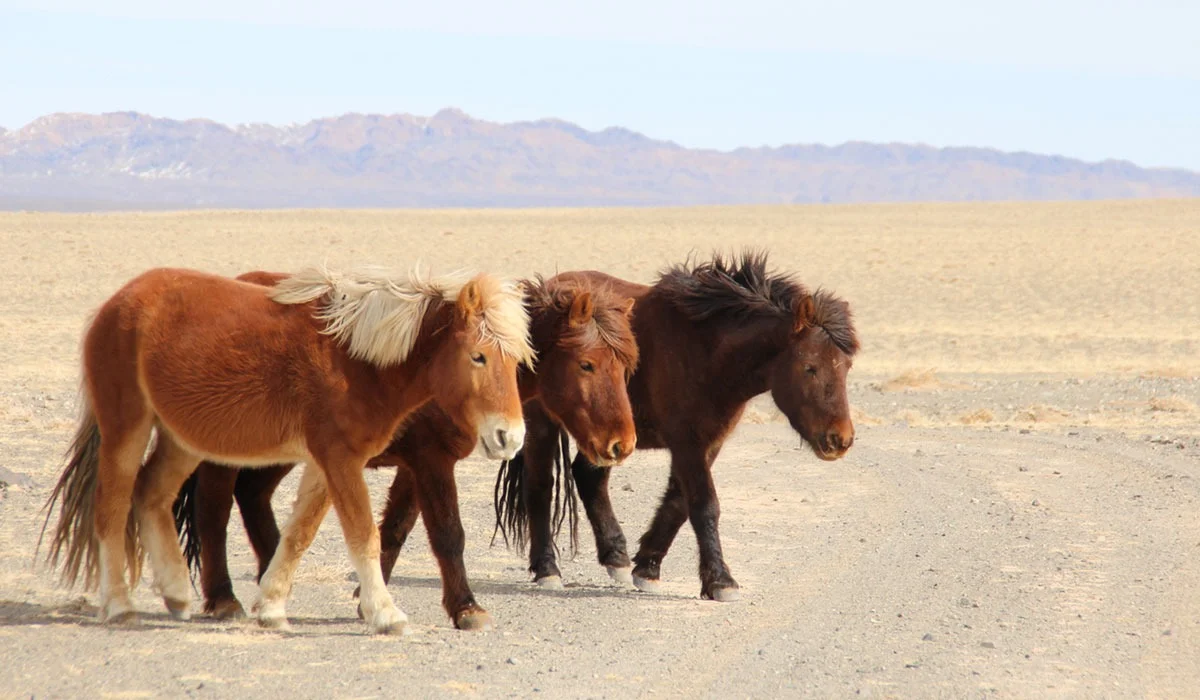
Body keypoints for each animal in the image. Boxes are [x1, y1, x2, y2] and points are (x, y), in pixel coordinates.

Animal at [39, 264, 532, 633]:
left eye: (516, 361)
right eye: (478, 356)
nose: (510, 437)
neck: (356, 360)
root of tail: (120, 300)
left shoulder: (326, 463)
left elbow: (300, 535)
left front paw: (272, 606)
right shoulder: (344, 459)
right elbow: (365, 534)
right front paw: (385, 613)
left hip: (183, 438)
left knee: (152, 495)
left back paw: (178, 593)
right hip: (128, 427)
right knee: (114, 504)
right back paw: (122, 605)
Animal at [175, 272, 643, 629]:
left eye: (625, 367)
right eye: (587, 364)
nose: (621, 444)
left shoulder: (412, 467)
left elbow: (394, 529)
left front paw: (368, 598)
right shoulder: (431, 462)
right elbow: (447, 534)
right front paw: (465, 608)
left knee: (254, 496)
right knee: (214, 508)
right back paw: (224, 598)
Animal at [492, 252, 859, 602]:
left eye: (846, 367)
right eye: (810, 367)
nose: (840, 439)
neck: (704, 351)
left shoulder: (708, 442)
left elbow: (678, 502)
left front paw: (647, 567)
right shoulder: (687, 442)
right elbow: (704, 505)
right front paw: (721, 581)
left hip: (602, 435)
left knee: (589, 478)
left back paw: (616, 557)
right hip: (545, 424)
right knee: (540, 486)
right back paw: (547, 569)